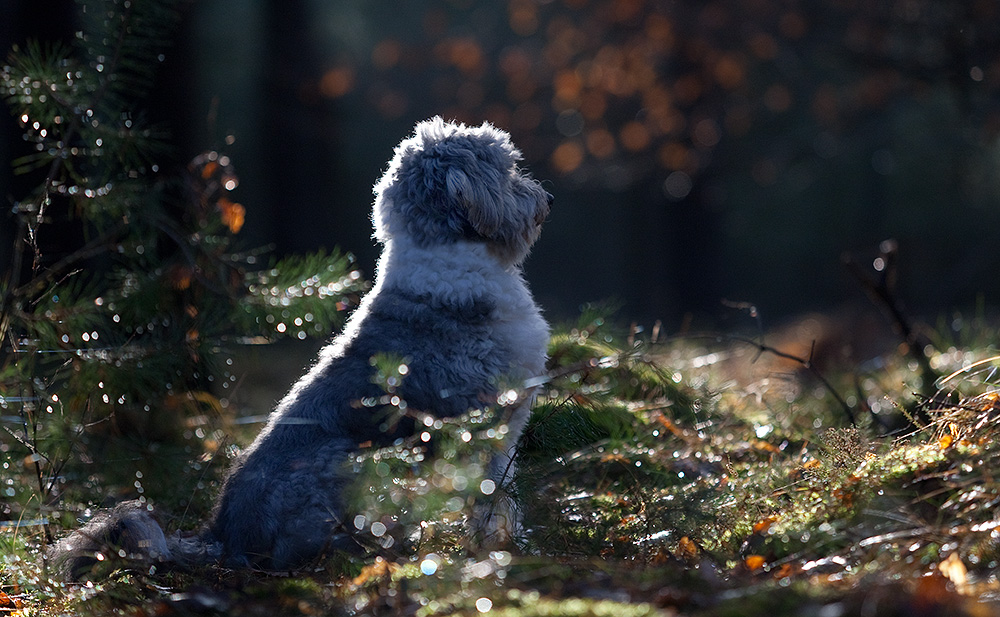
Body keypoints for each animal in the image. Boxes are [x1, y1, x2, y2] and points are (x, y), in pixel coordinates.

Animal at [50, 116, 556, 576]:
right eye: (509, 169)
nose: (546, 200)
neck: (448, 263)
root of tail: (221, 535)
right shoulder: (485, 428)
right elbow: (495, 497)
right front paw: (500, 548)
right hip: (352, 462)